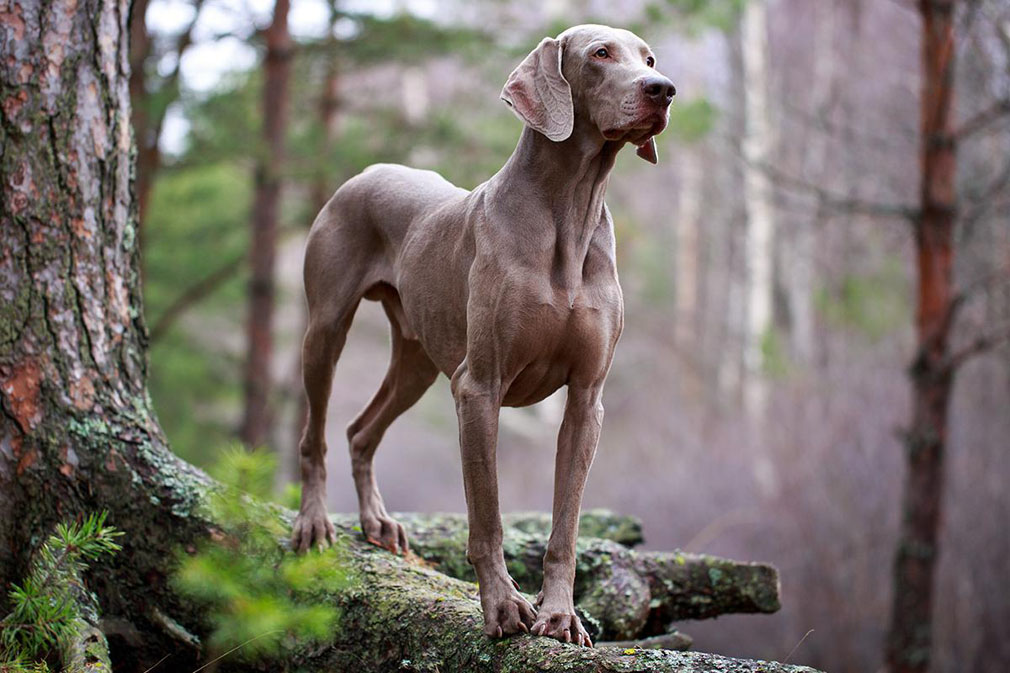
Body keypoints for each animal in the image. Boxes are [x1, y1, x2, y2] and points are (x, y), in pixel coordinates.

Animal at [290, 24, 670, 646]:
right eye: (600, 54)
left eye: (650, 58)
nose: (663, 89)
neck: (569, 213)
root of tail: (368, 171)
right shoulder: (479, 388)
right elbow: (486, 517)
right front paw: (503, 607)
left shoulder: (586, 400)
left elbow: (565, 525)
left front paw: (560, 615)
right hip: (325, 329)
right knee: (315, 434)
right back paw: (314, 522)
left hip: (417, 360)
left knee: (359, 430)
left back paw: (376, 522)